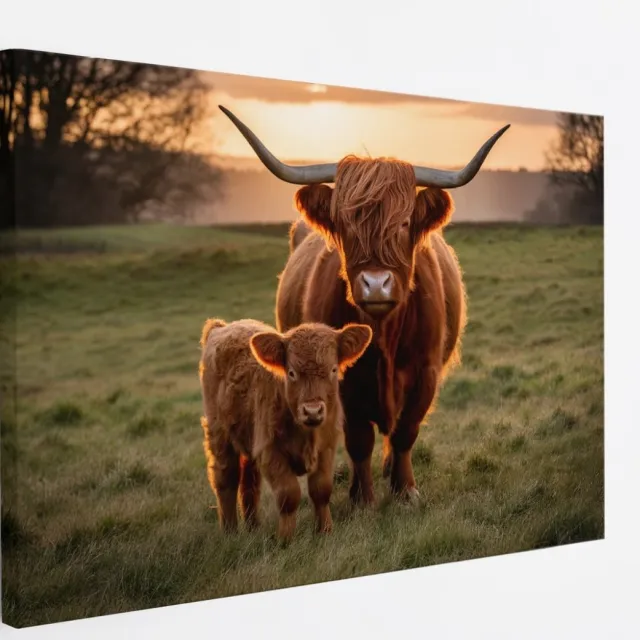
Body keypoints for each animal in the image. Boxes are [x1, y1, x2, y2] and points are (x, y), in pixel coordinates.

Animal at [198, 317, 372, 541]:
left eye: (333, 370)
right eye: (291, 373)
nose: (313, 411)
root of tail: (222, 326)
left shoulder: (326, 448)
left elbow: (321, 490)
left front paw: (325, 530)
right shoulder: (271, 451)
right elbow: (288, 495)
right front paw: (285, 538)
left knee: (249, 483)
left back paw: (253, 526)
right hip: (219, 434)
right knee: (226, 480)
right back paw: (230, 532)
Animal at [218, 105, 509, 506]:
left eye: (404, 222)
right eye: (345, 225)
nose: (375, 284)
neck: (384, 335)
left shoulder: (426, 373)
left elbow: (405, 433)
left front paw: (405, 489)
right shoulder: (339, 380)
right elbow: (359, 440)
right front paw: (363, 497)